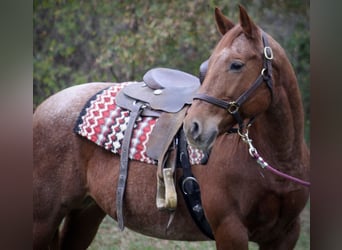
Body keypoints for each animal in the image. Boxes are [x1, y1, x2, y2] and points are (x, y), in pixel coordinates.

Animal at [33, 4, 308, 250]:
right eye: (206, 67)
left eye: (236, 64)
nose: (193, 126)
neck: (276, 162)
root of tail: (44, 107)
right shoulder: (230, 231)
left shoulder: (285, 235)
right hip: (43, 219)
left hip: (86, 212)